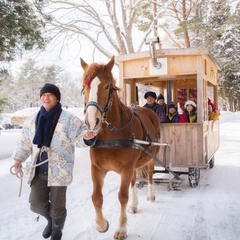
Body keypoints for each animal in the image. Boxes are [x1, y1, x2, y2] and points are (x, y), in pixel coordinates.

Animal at [79, 55, 160, 238]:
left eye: (107, 86)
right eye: (84, 86)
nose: (92, 122)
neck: (112, 136)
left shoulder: (126, 168)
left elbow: (122, 196)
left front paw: (121, 229)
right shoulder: (97, 168)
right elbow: (96, 197)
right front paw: (101, 224)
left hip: (151, 157)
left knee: (150, 174)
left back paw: (151, 195)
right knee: (134, 181)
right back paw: (134, 205)